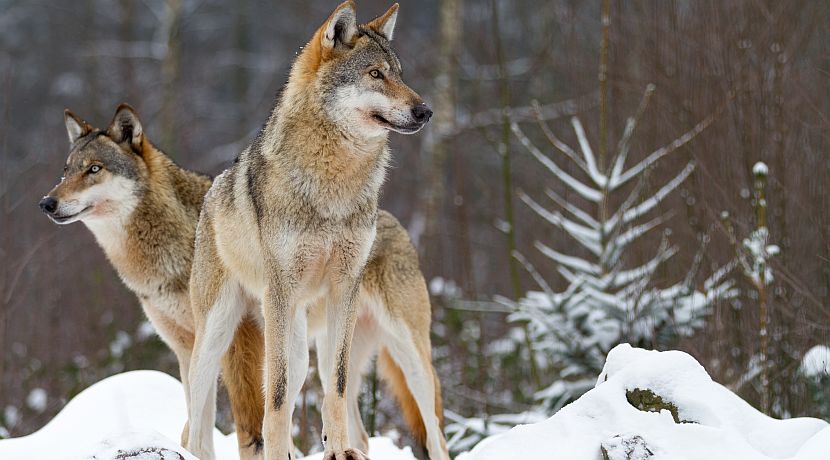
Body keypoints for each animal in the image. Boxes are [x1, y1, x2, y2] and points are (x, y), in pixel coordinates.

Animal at [184, 1, 448, 460]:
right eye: (375, 74)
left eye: (400, 74)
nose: (425, 110)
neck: (334, 184)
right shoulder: (280, 294)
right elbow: (275, 397)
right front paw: (279, 453)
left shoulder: (344, 290)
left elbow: (335, 390)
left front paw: (337, 450)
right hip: (227, 335)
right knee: (196, 425)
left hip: (403, 353)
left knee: (431, 431)